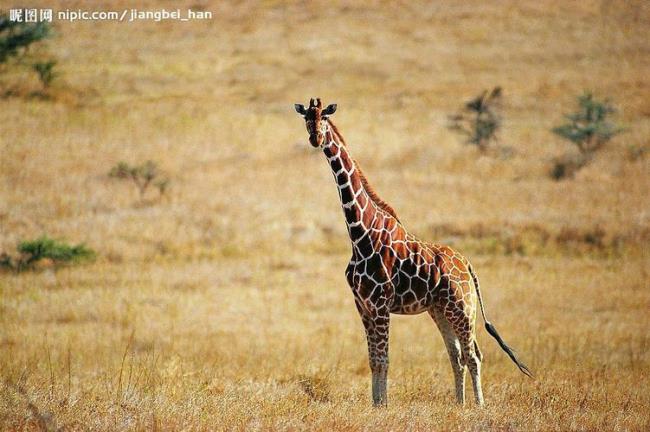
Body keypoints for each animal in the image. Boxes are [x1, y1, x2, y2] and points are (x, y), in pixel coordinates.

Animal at [294, 98, 532, 408]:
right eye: (307, 118)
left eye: (324, 117)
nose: (315, 138)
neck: (360, 233)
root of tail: (467, 263)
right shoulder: (363, 305)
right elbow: (373, 360)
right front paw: (376, 404)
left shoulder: (380, 305)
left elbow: (383, 359)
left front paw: (383, 406)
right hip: (440, 310)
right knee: (456, 355)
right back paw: (459, 404)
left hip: (463, 307)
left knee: (474, 354)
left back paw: (479, 406)